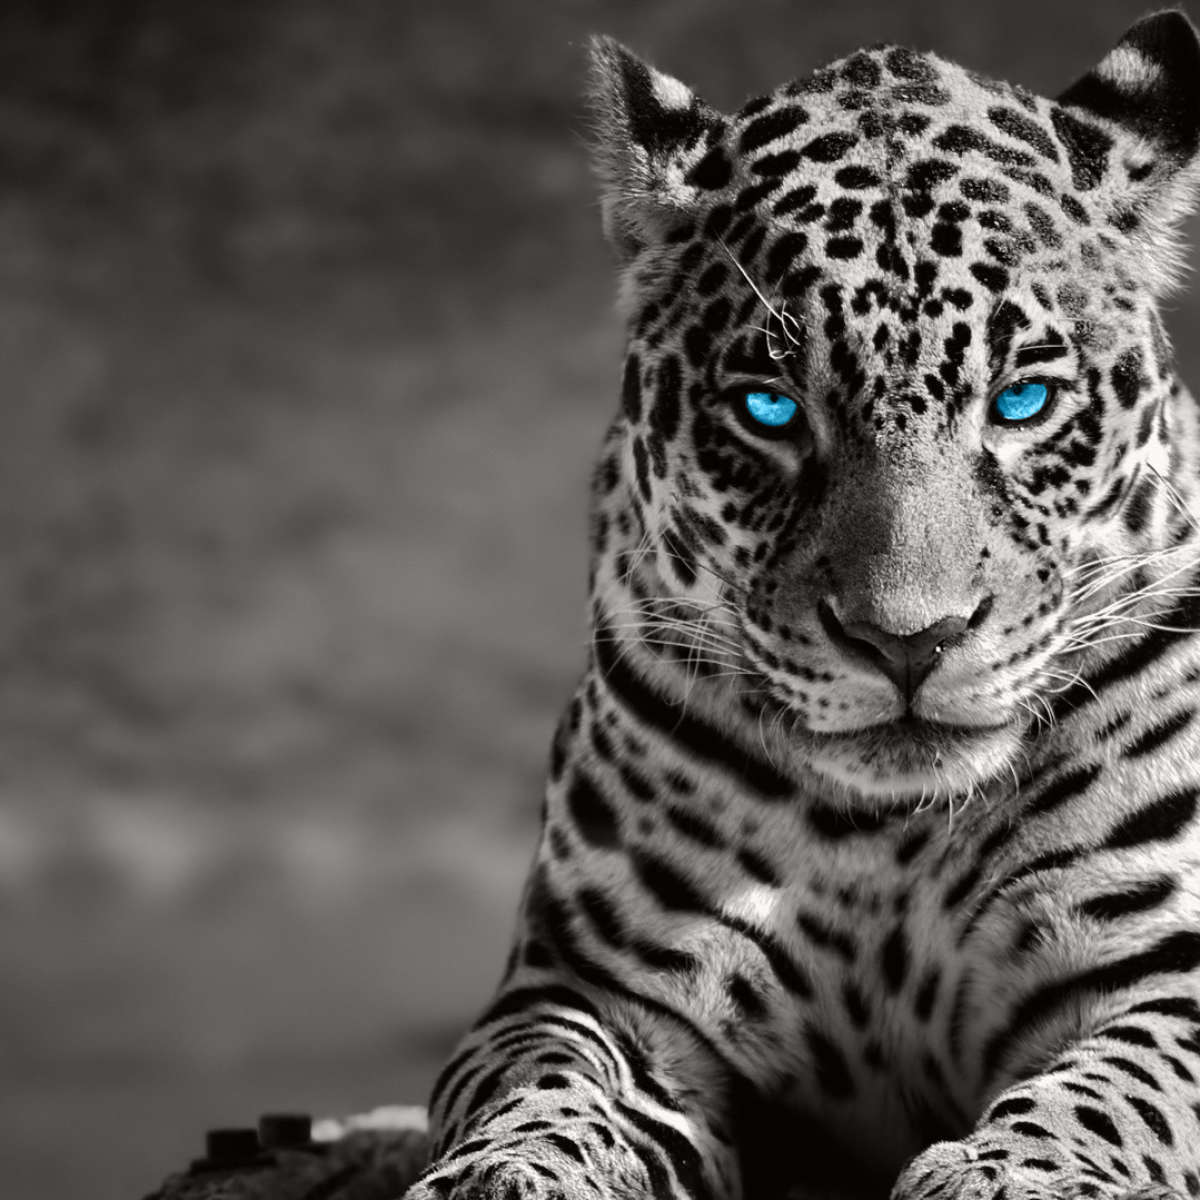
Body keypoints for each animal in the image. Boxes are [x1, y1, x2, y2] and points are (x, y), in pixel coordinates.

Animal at [405, 12, 1200, 1200]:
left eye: (1022, 401)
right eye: (770, 409)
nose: (907, 641)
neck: (891, 838)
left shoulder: (1163, 972)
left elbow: (1110, 1092)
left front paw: (1008, 1175)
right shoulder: (590, 988)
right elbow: (540, 1085)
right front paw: (502, 1175)